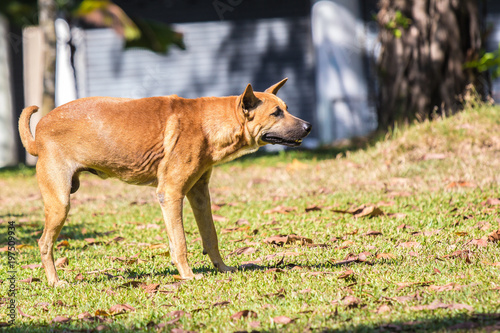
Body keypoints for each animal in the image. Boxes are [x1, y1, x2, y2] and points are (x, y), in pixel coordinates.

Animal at [18, 78, 308, 286]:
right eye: (276, 113)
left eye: (286, 109)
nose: (309, 127)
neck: (208, 124)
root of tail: (39, 132)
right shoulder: (170, 193)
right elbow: (180, 242)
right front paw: (188, 275)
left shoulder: (199, 195)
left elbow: (210, 236)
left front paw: (223, 268)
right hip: (60, 202)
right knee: (44, 243)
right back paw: (55, 282)